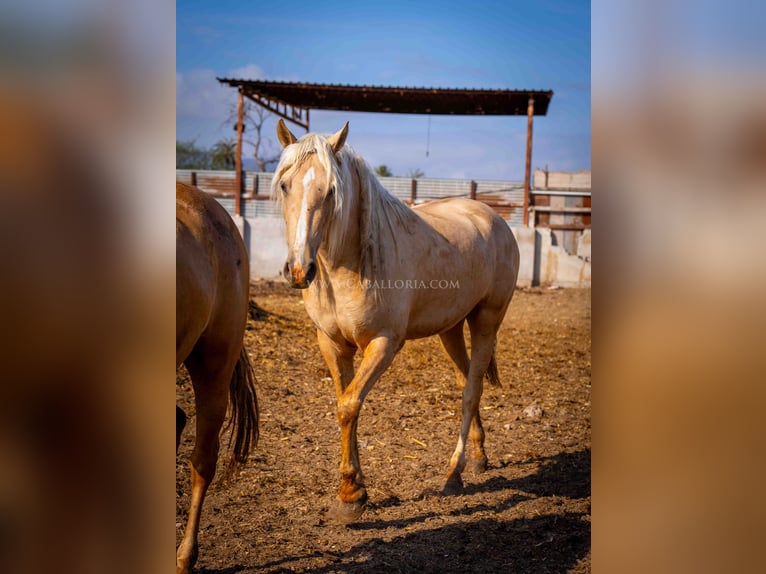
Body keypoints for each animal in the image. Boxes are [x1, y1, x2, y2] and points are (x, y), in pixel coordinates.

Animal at [272, 119, 520, 524]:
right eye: (284, 185)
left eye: (332, 190)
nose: (298, 270)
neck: (356, 261)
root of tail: (493, 218)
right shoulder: (331, 343)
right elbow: (345, 405)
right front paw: (355, 489)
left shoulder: (385, 343)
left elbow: (349, 406)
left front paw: (350, 495)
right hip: (451, 328)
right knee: (468, 380)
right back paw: (479, 458)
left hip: (486, 321)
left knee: (471, 391)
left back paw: (453, 475)